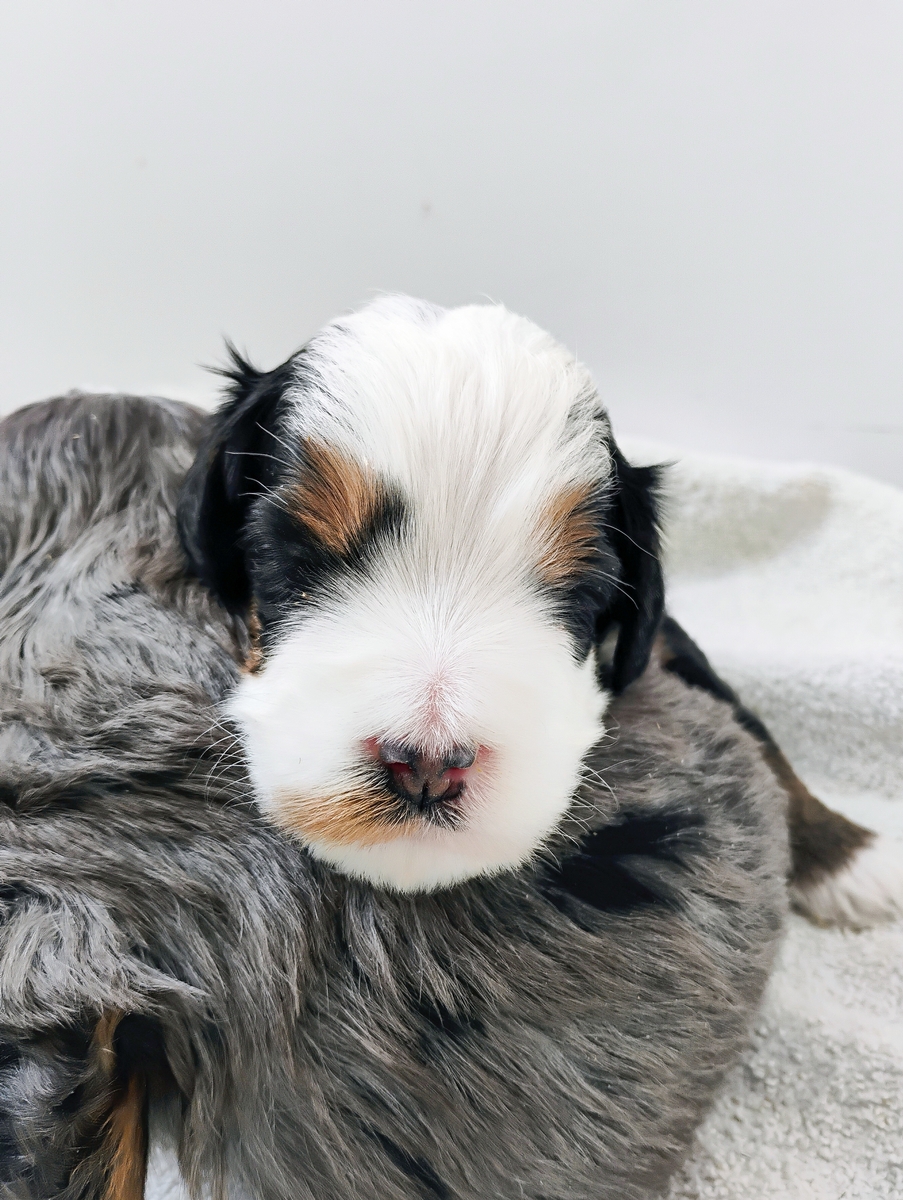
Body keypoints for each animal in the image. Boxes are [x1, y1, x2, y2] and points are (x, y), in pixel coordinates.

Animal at [0, 297, 894, 1198]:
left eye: (577, 591)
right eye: (294, 554)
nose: (426, 763)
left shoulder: (661, 636)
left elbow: (743, 712)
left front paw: (850, 860)